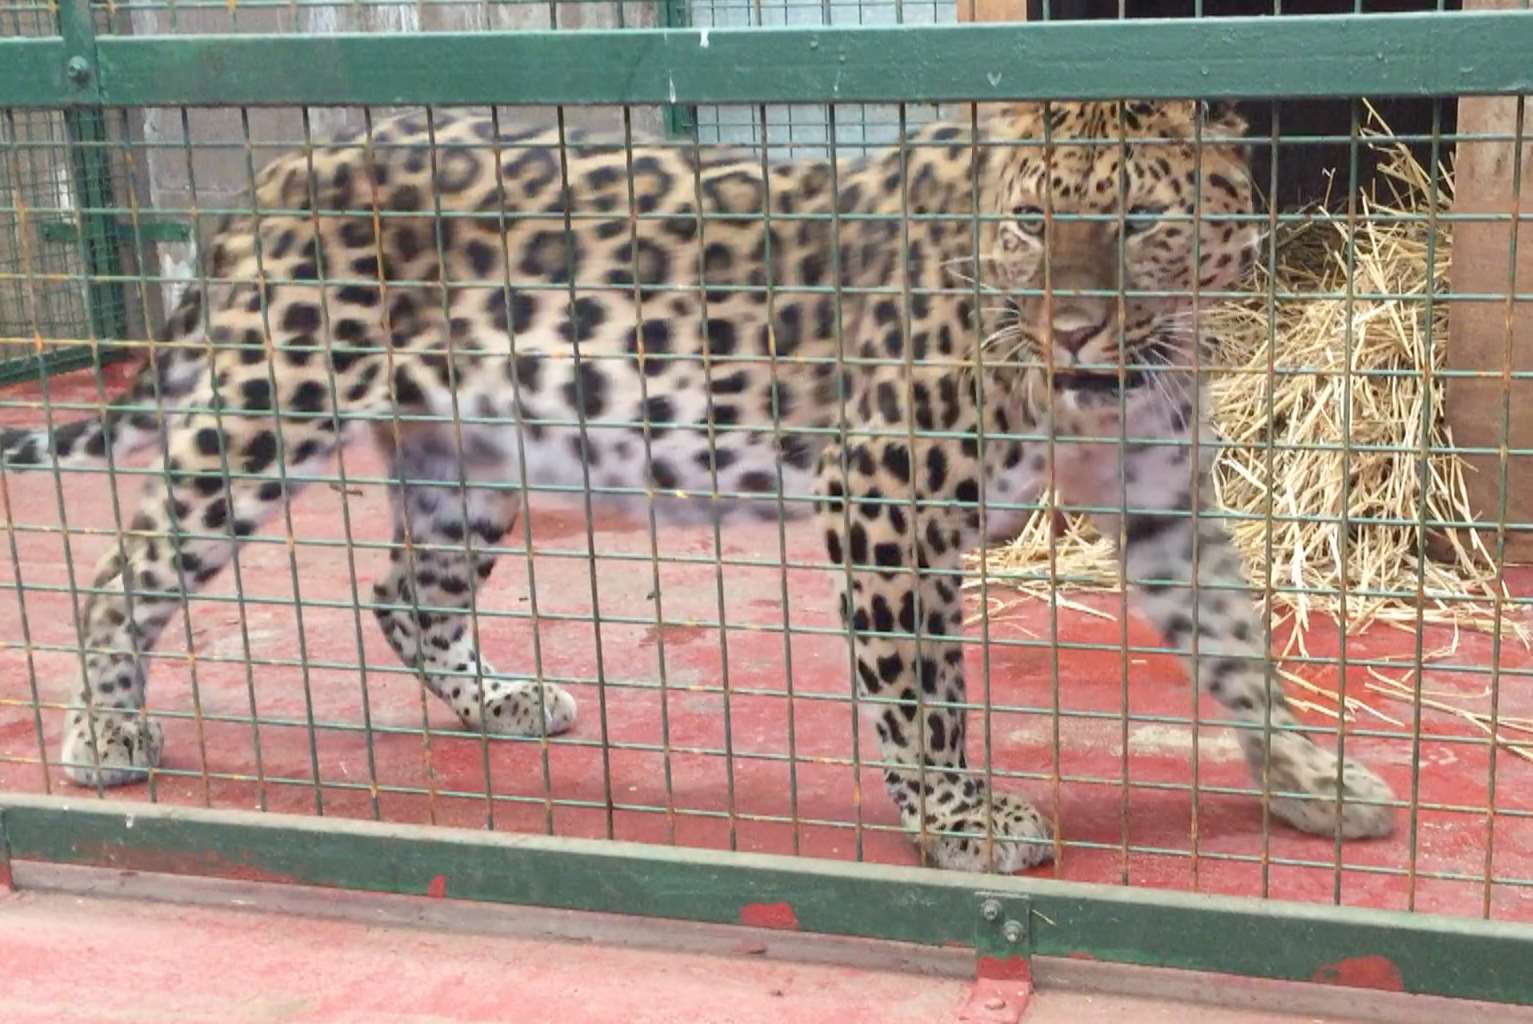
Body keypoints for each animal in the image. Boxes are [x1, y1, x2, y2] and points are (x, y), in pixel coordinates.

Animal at [0, 98, 1398, 870]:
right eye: (1028, 224)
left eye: (1143, 224)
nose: (1072, 333)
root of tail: (275, 174)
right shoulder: (883, 500)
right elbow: (922, 696)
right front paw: (961, 819)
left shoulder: (1164, 501)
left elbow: (1238, 648)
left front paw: (1311, 782)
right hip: (266, 410)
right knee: (124, 568)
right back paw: (103, 735)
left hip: (467, 457)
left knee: (407, 596)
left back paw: (504, 702)